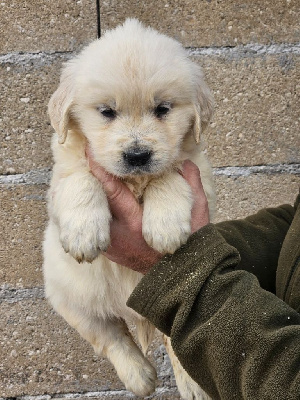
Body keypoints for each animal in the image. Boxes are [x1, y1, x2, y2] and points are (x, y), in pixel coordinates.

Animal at [43, 19, 214, 400]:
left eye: (163, 109)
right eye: (107, 112)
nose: (137, 156)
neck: (134, 182)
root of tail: (135, 313)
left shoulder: (196, 170)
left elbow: (168, 173)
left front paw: (165, 226)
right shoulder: (63, 176)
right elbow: (82, 178)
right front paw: (84, 234)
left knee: (179, 341)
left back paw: (192, 386)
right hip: (70, 299)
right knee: (112, 337)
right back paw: (140, 377)